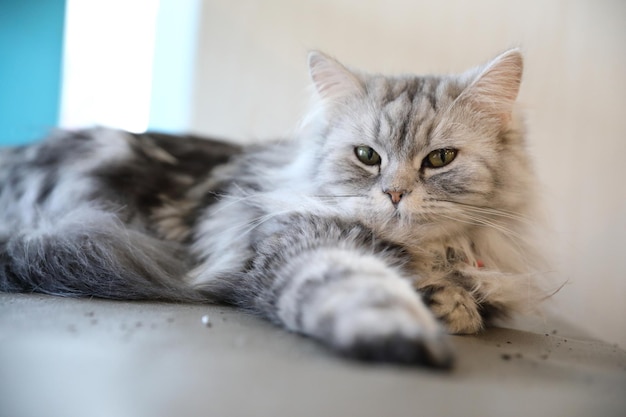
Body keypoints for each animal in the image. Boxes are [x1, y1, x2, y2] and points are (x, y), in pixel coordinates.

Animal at [0, 49, 540, 368]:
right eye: (367, 156)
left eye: (440, 159)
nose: (395, 193)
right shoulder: (294, 242)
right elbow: (356, 286)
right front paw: (409, 334)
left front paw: (453, 304)